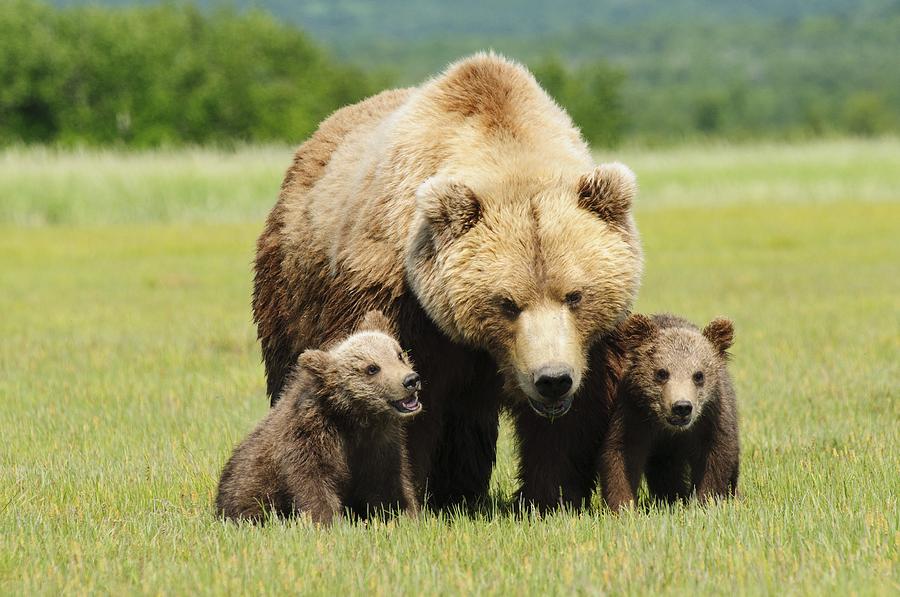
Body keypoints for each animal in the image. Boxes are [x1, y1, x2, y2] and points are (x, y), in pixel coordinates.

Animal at [215, 312, 422, 520]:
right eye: (372, 368)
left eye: (399, 354)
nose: (410, 380)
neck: (354, 418)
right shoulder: (309, 439)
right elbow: (314, 484)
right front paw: (329, 519)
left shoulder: (380, 445)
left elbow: (389, 484)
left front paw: (406, 514)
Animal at [253, 52, 644, 508]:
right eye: (507, 302)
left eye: (575, 295)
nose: (551, 380)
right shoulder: (399, 298)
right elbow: (397, 395)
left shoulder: (588, 343)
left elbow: (574, 419)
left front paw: (551, 496)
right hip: (290, 286)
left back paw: (461, 492)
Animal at [596, 314, 740, 510]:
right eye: (662, 373)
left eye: (699, 375)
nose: (682, 406)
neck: (670, 429)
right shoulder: (634, 413)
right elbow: (621, 453)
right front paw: (623, 506)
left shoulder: (711, 417)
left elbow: (716, 455)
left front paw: (703, 501)